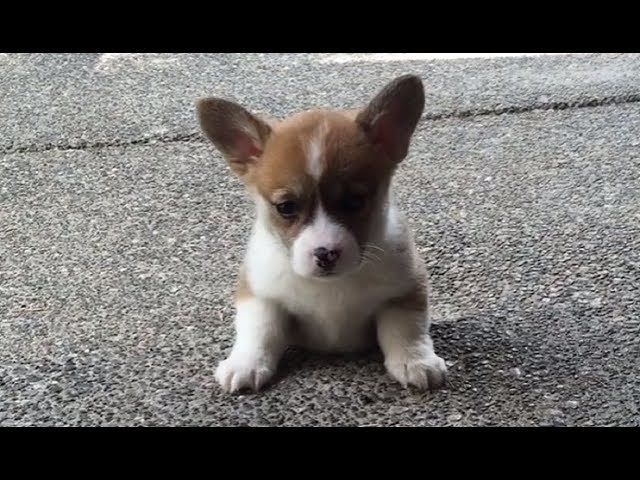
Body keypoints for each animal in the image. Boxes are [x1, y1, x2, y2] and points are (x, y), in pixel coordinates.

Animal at [198, 74, 448, 394]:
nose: (326, 254)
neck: (331, 287)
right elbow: (259, 329)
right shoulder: (259, 294)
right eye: (286, 207)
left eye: (355, 201)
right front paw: (246, 364)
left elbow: (406, 330)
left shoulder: (405, 290)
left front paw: (415, 361)